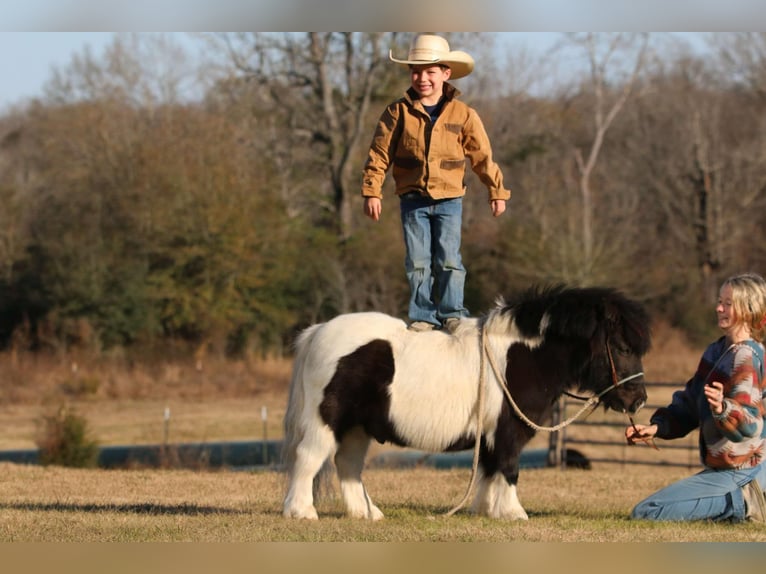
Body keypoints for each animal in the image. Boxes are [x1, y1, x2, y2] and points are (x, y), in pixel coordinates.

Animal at [282, 286, 656, 520]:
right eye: (622, 348)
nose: (638, 400)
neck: (523, 357)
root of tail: (318, 331)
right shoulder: (508, 431)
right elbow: (509, 468)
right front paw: (514, 513)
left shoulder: (490, 435)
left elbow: (490, 471)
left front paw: (487, 510)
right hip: (327, 421)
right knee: (310, 458)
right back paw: (302, 511)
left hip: (357, 428)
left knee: (347, 464)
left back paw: (366, 513)